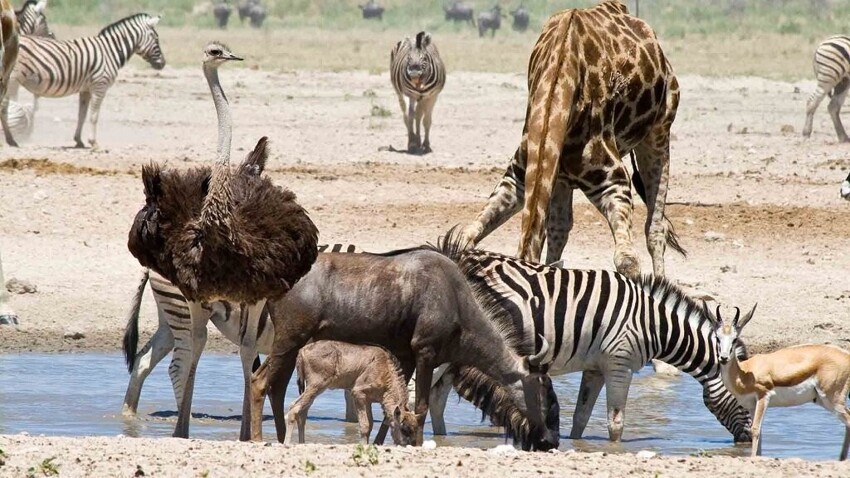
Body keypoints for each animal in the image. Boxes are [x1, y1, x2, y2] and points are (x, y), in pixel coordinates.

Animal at [2, 13, 164, 148]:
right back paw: (11, 140)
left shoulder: (85, 89)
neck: (110, 52)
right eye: (156, 39)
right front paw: (93, 142)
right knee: (4, 108)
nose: (163, 64)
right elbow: (94, 116)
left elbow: (82, 115)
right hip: (12, 80)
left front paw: (78, 140)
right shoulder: (100, 86)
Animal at [284, 340, 418, 444]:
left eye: (415, 428)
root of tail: (302, 351)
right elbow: (365, 425)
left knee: (302, 412)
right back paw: (287, 443)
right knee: (294, 407)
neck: (385, 370)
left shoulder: (367, 400)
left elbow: (370, 425)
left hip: (313, 388)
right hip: (316, 385)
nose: (410, 444)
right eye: (404, 429)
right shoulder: (357, 393)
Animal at [458, 0, 684, 278]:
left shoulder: (614, 183)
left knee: (655, 227)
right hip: (562, 178)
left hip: (658, 134)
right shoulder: (517, 178)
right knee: (560, 228)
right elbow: (467, 235)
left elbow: (627, 261)